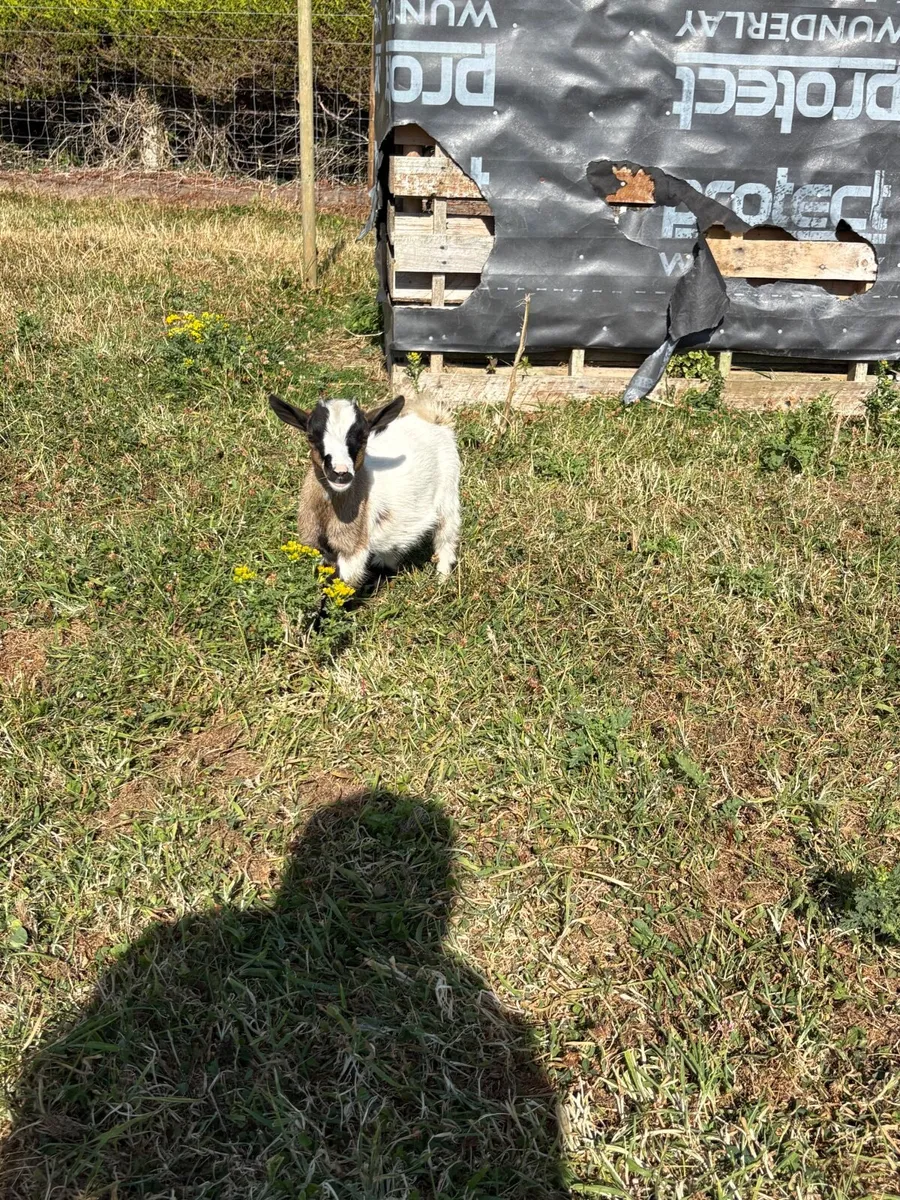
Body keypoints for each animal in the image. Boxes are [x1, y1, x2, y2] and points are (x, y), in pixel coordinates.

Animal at [268, 393, 461, 589]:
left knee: (446, 536)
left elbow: (340, 582)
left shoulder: (352, 547)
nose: (340, 473)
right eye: (311, 436)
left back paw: (442, 579)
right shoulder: (317, 545)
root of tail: (433, 419)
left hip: (448, 493)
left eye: (363, 437)